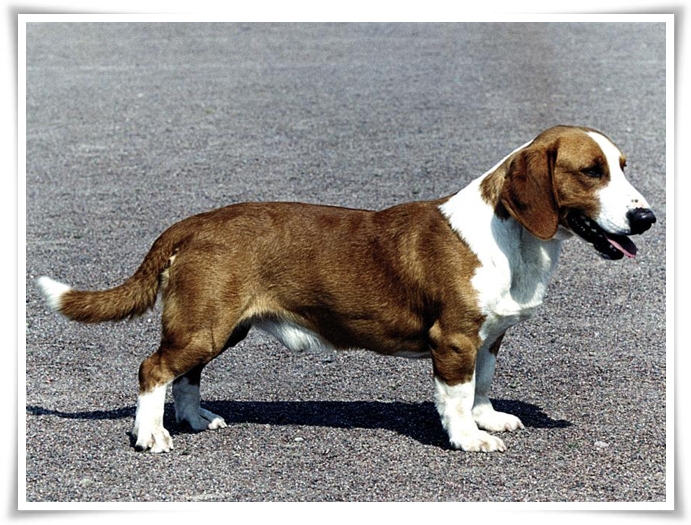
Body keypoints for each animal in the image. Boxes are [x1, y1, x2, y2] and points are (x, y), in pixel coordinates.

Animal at [37, 125, 656, 453]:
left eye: (623, 166)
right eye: (592, 171)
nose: (647, 218)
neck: (511, 239)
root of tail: (194, 222)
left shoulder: (489, 338)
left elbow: (483, 384)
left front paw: (488, 419)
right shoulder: (454, 338)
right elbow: (455, 396)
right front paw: (468, 438)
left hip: (219, 326)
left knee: (184, 375)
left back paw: (193, 419)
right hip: (203, 325)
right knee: (153, 369)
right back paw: (152, 436)